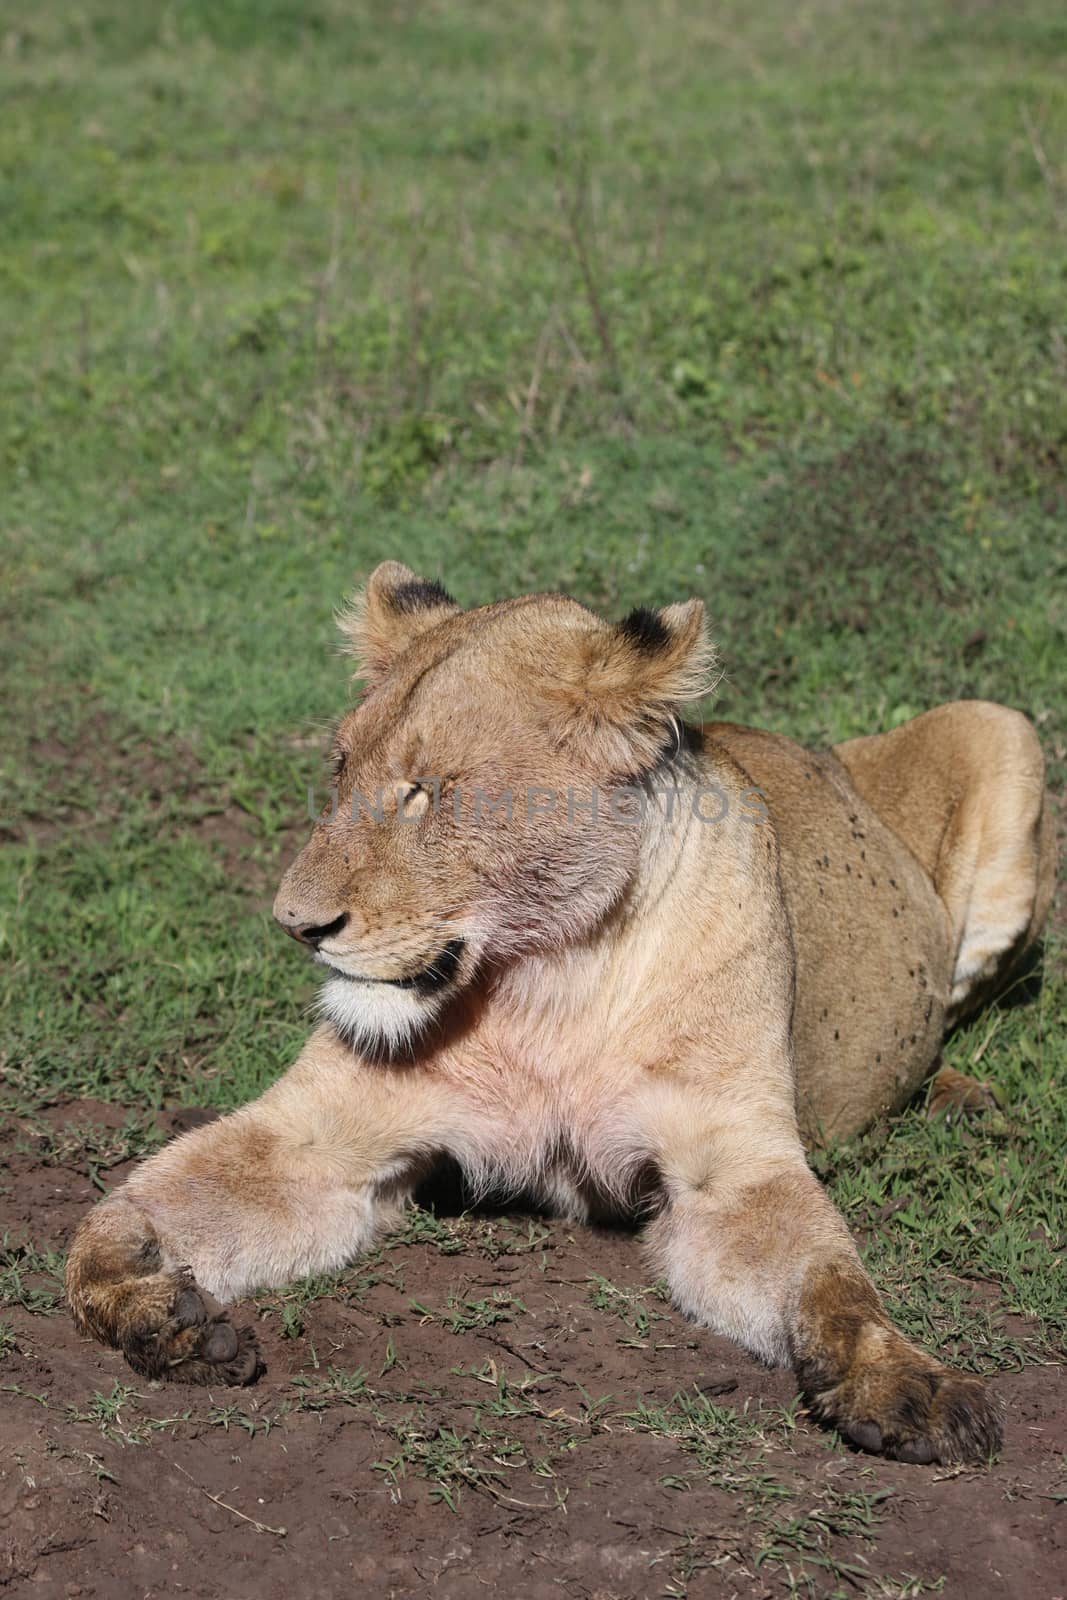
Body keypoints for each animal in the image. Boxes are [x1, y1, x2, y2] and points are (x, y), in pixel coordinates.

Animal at [62, 563, 1055, 1465]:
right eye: (338, 771)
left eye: (424, 790)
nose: (296, 924)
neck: (546, 984)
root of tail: (824, 753)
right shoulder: (319, 1134)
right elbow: (104, 1223)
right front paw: (157, 1308)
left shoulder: (728, 1163)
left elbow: (831, 1282)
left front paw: (907, 1384)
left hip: (1004, 729)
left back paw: (958, 1099)